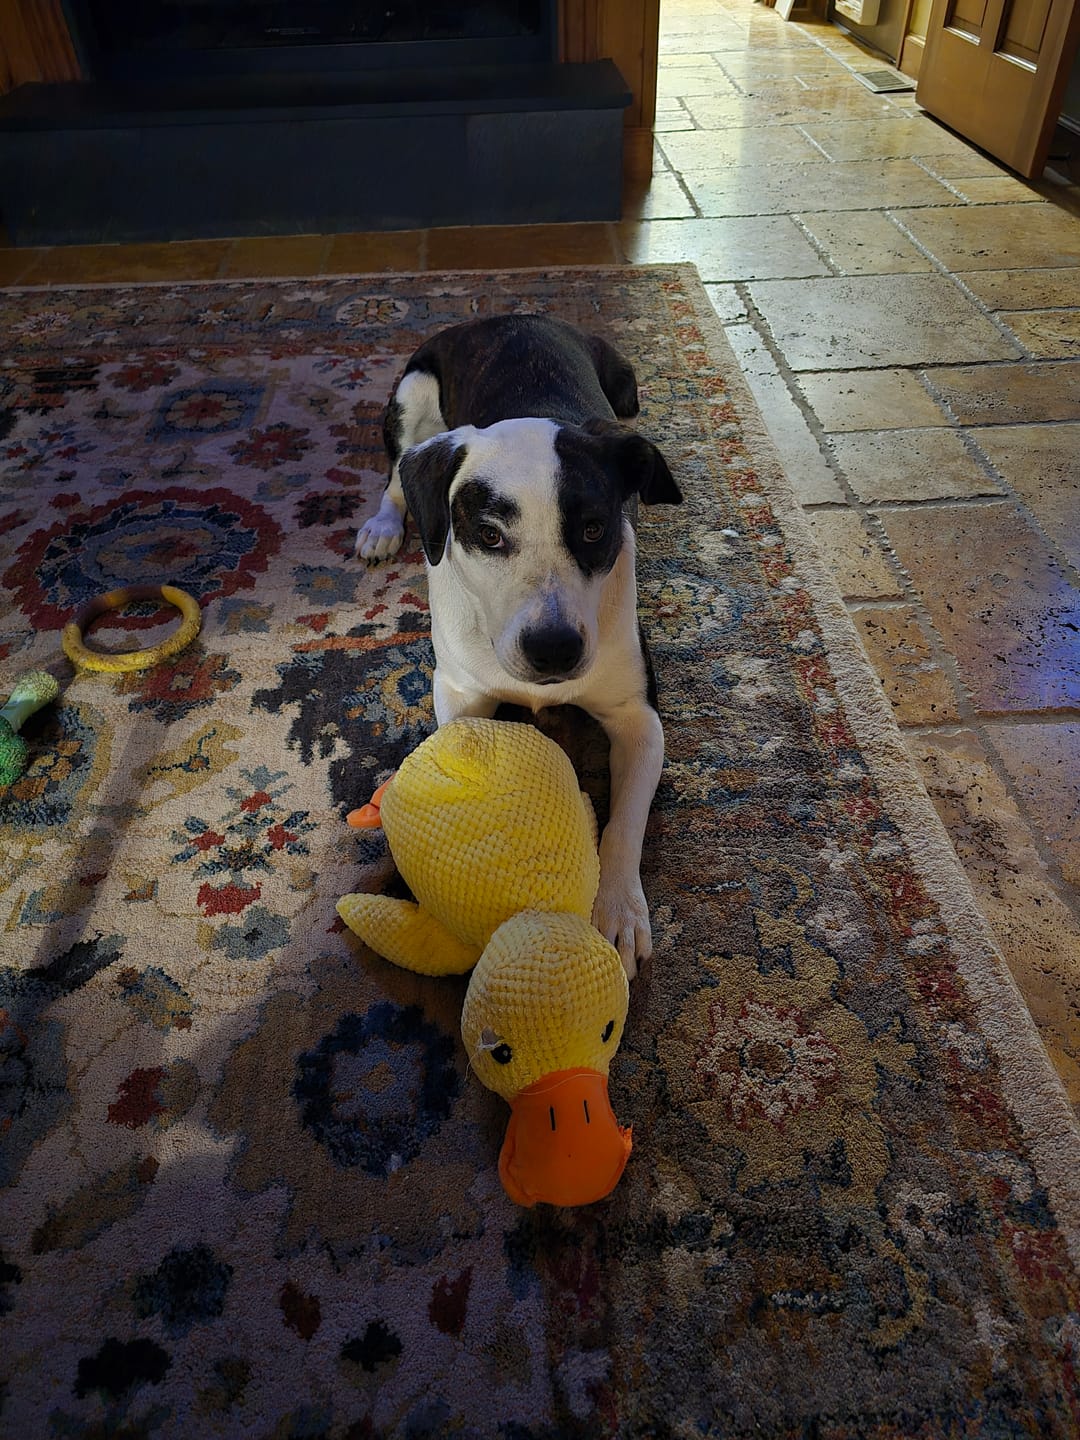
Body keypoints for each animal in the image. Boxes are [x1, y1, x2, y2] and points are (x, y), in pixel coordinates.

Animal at [360, 308, 688, 973]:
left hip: (626, 392)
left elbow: (625, 822)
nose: (554, 648)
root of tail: (508, 316)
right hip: (411, 398)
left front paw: (618, 910)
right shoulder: (460, 692)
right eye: (487, 534)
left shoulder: (637, 717)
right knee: (398, 478)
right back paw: (381, 527)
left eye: (594, 529)